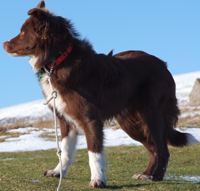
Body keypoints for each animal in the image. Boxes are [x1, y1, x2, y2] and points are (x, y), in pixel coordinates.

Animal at [2, 0, 198, 188]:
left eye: (22, 32)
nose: (3, 44)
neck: (58, 60)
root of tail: (163, 65)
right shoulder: (66, 120)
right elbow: (65, 151)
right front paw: (58, 172)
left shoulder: (91, 119)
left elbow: (94, 153)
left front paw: (98, 180)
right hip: (130, 122)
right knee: (153, 148)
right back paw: (145, 174)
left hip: (152, 115)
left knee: (163, 149)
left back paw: (156, 177)